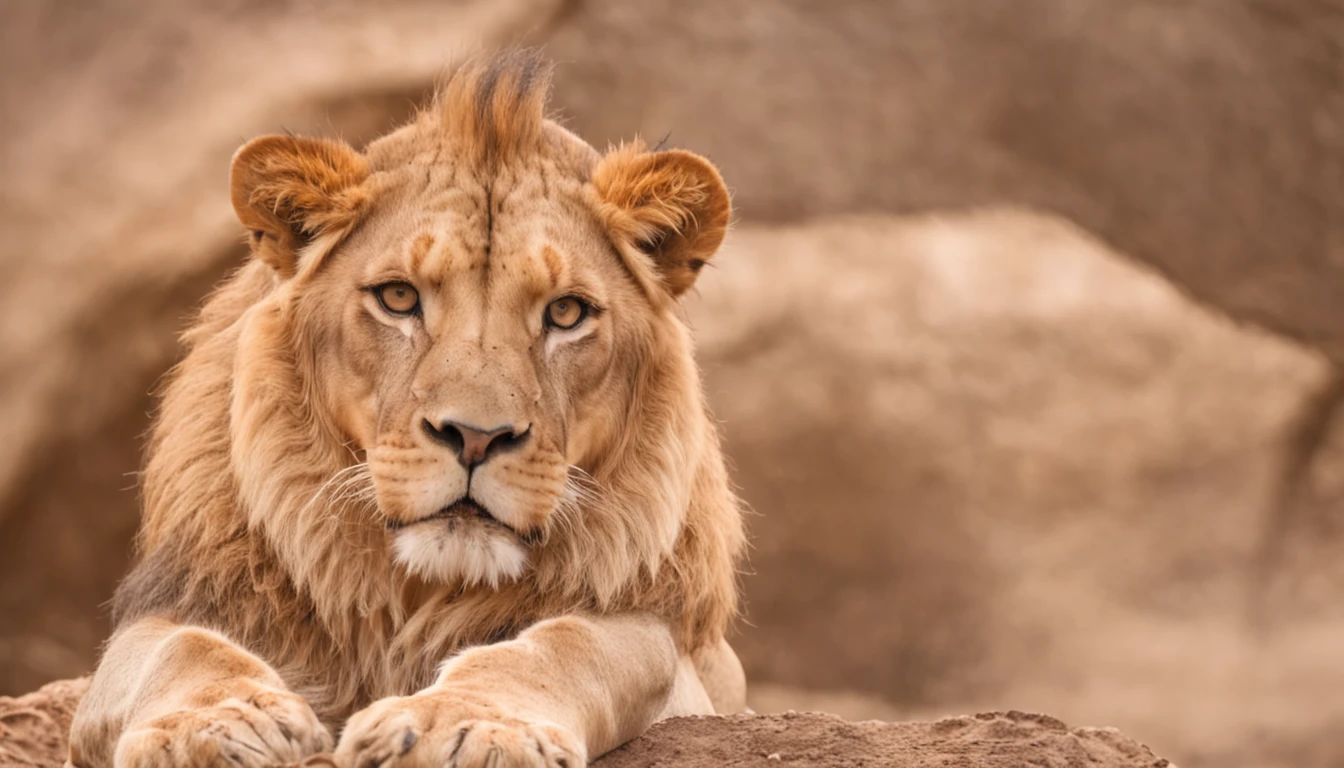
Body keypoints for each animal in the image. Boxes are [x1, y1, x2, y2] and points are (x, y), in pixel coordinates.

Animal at [65, 49, 747, 768]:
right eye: (398, 297)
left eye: (566, 312)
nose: (475, 437)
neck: (421, 587)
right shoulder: (173, 604)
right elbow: (183, 647)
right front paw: (220, 723)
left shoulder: (674, 650)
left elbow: (565, 646)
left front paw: (465, 723)